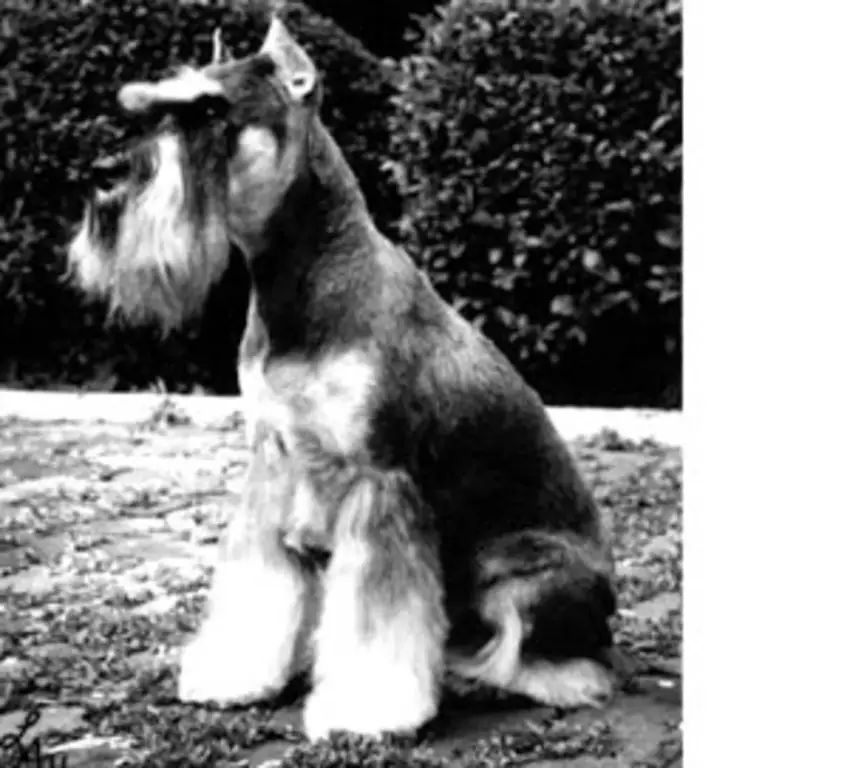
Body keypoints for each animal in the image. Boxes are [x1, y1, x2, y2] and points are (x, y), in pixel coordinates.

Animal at [68, 6, 616, 736]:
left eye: (211, 109)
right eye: (149, 106)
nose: (103, 173)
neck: (300, 278)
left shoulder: (378, 479)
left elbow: (375, 619)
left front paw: (365, 712)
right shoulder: (272, 465)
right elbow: (259, 585)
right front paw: (234, 675)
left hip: (527, 577)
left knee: (559, 657)